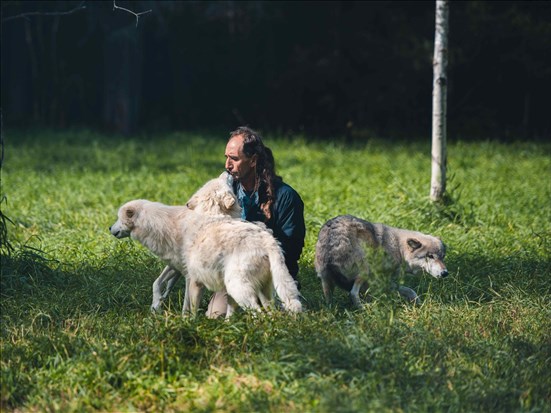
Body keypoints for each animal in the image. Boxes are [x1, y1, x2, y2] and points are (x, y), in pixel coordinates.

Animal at [314, 216, 448, 306]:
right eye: (430, 256)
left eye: (442, 257)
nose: (445, 273)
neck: (398, 248)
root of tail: (332, 236)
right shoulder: (379, 280)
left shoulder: (386, 281)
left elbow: (410, 291)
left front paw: (418, 304)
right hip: (365, 270)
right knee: (352, 293)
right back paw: (363, 310)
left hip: (326, 281)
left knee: (330, 301)